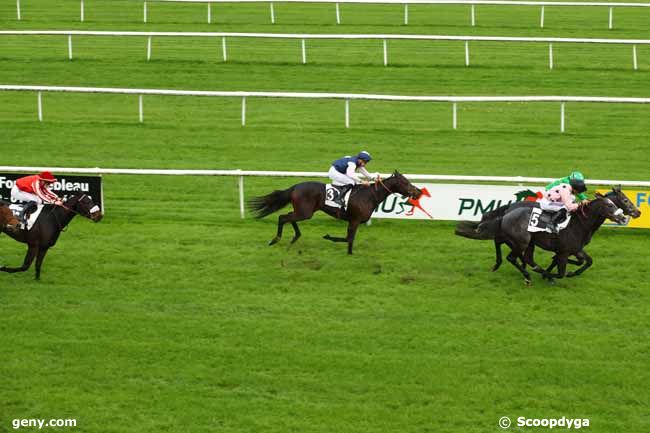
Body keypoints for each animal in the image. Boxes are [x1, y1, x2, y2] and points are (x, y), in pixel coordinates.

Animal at [247, 170, 420, 253]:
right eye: (405, 182)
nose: (418, 192)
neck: (369, 195)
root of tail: (295, 187)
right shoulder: (354, 220)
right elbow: (348, 238)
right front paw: (329, 237)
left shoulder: (354, 221)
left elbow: (350, 239)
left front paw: (350, 254)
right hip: (305, 212)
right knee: (283, 217)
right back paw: (275, 240)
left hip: (303, 211)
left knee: (289, 217)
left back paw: (295, 237)